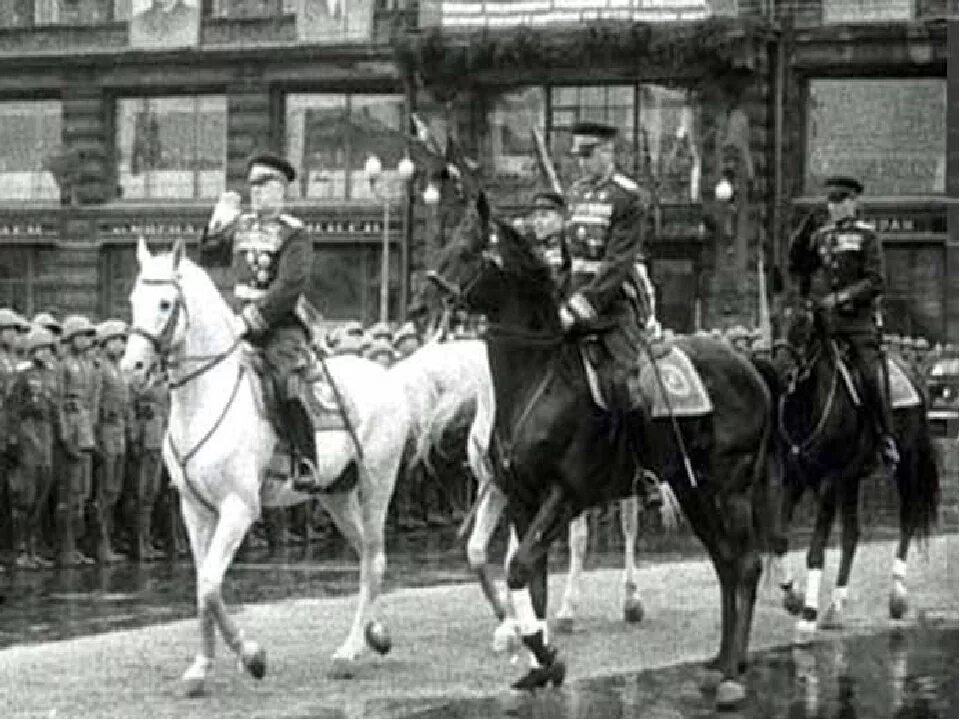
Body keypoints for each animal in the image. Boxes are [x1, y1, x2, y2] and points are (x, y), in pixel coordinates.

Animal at [120, 239, 408, 696]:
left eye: (166, 303)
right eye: (134, 300)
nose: (130, 370)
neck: (204, 398)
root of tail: (387, 376)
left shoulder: (239, 508)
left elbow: (210, 585)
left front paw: (251, 656)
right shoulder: (194, 510)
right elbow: (201, 587)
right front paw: (201, 668)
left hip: (376, 484)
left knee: (375, 560)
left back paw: (348, 652)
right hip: (337, 494)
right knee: (366, 555)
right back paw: (374, 634)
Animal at [392, 338, 652, 648]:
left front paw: (519, 620)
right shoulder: (498, 491)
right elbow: (478, 551)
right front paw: (508, 620)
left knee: (623, 529)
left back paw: (623, 602)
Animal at [432, 194, 776, 712]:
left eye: (474, 248)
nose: (431, 289)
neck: (538, 380)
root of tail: (748, 363)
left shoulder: (564, 495)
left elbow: (518, 569)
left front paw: (549, 656)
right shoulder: (521, 499)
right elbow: (531, 580)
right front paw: (537, 663)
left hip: (729, 486)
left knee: (747, 564)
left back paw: (733, 672)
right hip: (692, 488)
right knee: (724, 562)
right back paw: (717, 663)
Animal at [764, 298, 936, 636]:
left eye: (804, 325)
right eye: (774, 321)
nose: (779, 375)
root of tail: (910, 369)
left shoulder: (829, 482)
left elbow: (816, 550)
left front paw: (808, 614)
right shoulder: (794, 478)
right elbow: (778, 537)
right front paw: (793, 597)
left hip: (905, 464)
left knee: (907, 519)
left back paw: (896, 596)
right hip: (852, 479)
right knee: (852, 536)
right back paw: (836, 607)